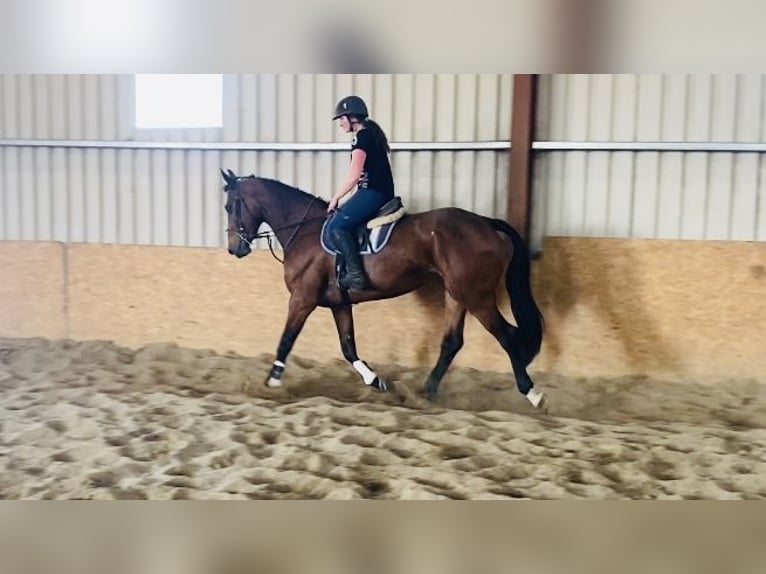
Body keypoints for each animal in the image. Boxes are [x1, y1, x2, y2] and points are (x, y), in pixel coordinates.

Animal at [219, 168, 548, 410]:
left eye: (229, 206)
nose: (235, 248)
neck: (304, 230)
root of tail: (486, 223)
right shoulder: (340, 303)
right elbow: (348, 347)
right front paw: (376, 381)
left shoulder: (302, 299)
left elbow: (286, 340)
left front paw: (272, 384)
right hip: (457, 294)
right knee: (452, 342)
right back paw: (425, 393)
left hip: (477, 297)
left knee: (508, 337)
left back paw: (532, 394)